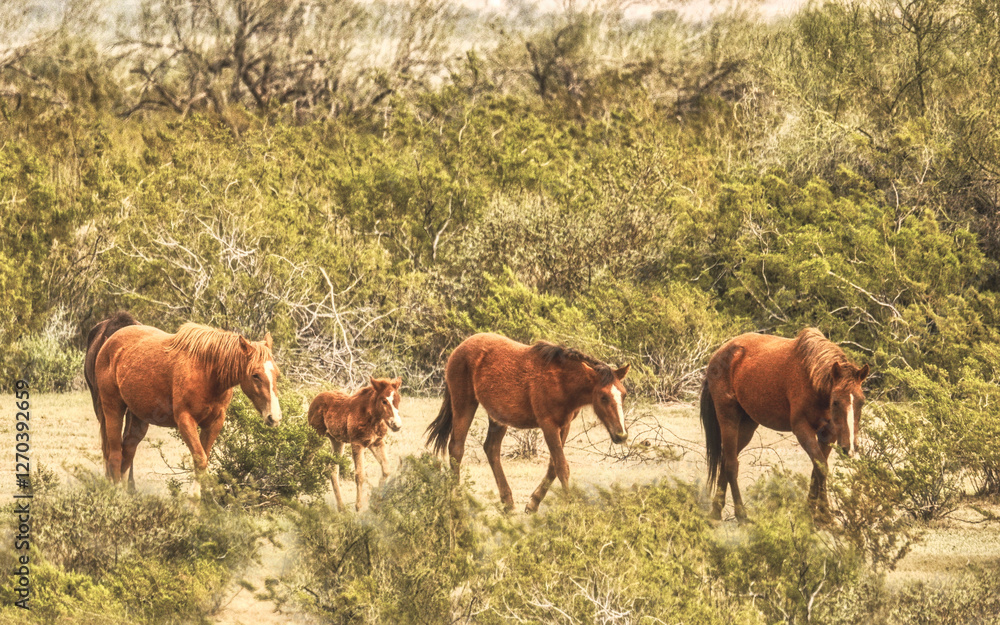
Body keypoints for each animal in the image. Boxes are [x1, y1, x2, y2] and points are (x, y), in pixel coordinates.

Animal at [93, 322, 282, 492]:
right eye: (255, 375)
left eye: (277, 374)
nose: (275, 417)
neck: (207, 373)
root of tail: (109, 342)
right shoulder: (185, 420)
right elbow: (200, 459)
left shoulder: (214, 423)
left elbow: (203, 461)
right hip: (113, 409)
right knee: (115, 455)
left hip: (138, 419)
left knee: (127, 453)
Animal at [308, 377, 403, 511]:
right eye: (384, 401)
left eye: (398, 400)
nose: (396, 425)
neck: (373, 419)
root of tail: (315, 398)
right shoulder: (357, 444)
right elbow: (360, 474)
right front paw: (358, 507)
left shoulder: (377, 443)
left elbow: (386, 470)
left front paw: (377, 504)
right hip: (316, 435)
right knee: (306, 459)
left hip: (337, 441)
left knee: (333, 469)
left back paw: (341, 508)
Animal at [426, 332, 630, 513]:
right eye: (603, 397)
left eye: (624, 394)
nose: (621, 435)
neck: (562, 381)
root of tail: (459, 348)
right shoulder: (548, 424)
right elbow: (562, 466)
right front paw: (571, 509)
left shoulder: (564, 425)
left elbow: (553, 466)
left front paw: (533, 503)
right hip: (464, 404)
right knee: (456, 448)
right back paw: (457, 499)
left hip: (498, 417)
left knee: (491, 449)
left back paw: (508, 502)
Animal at [700, 327, 869, 521]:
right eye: (835, 402)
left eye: (862, 402)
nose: (850, 448)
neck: (813, 380)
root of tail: (719, 354)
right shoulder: (802, 429)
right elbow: (821, 468)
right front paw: (825, 516)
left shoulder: (828, 434)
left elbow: (818, 468)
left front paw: (811, 513)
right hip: (728, 419)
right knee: (731, 465)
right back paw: (741, 515)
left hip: (747, 426)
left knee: (725, 459)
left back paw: (716, 511)